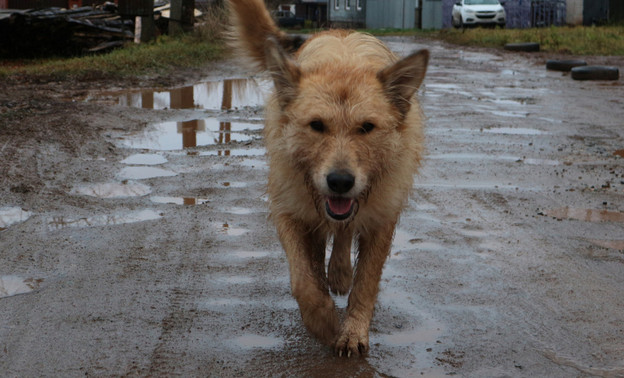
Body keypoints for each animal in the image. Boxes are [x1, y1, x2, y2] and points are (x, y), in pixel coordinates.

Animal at [229, 0, 428, 356]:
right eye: (317, 125)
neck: (344, 65)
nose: (340, 182)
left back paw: (339, 274)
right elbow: (302, 279)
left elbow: (366, 282)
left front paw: (352, 331)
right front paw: (322, 320)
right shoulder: (289, 209)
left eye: (367, 127)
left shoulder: (381, 217)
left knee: (344, 234)